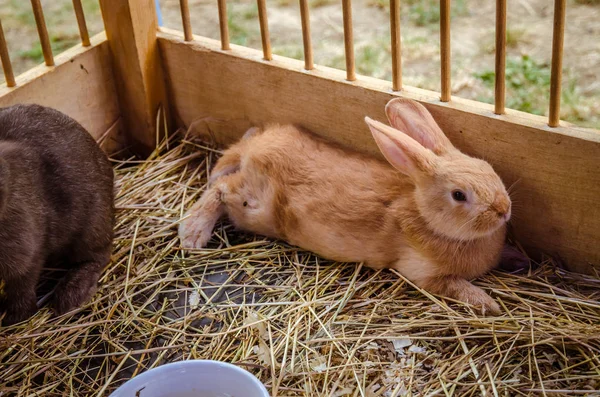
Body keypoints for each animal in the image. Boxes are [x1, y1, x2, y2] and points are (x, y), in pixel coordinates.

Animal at [0, 104, 113, 324]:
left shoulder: (26, 252)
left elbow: (21, 285)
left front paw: (17, 318)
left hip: (92, 224)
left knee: (98, 256)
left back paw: (71, 296)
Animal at [179, 98, 510, 312]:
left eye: (488, 168)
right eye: (459, 195)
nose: (504, 210)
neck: (426, 216)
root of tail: (257, 149)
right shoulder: (423, 274)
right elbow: (456, 287)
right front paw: (490, 305)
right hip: (252, 205)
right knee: (220, 189)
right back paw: (192, 234)